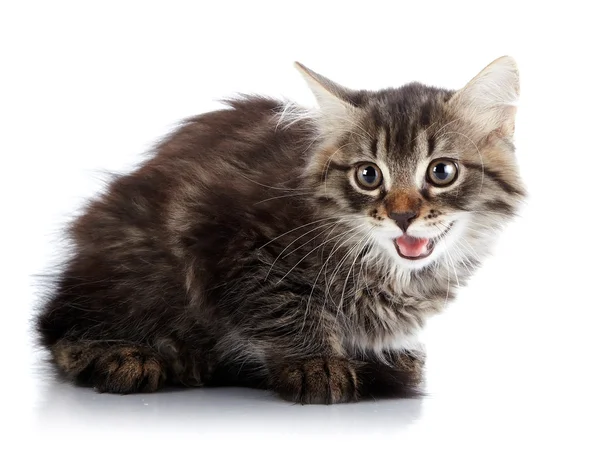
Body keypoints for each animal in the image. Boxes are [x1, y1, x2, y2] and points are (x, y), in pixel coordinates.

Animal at [36, 56, 524, 402]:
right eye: (368, 175)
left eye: (441, 171)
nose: (402, 215)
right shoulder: (240, 246)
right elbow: (283, 304)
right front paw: (315, 362)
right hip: (134, 266)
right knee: (59, 330)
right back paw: (124, 356)